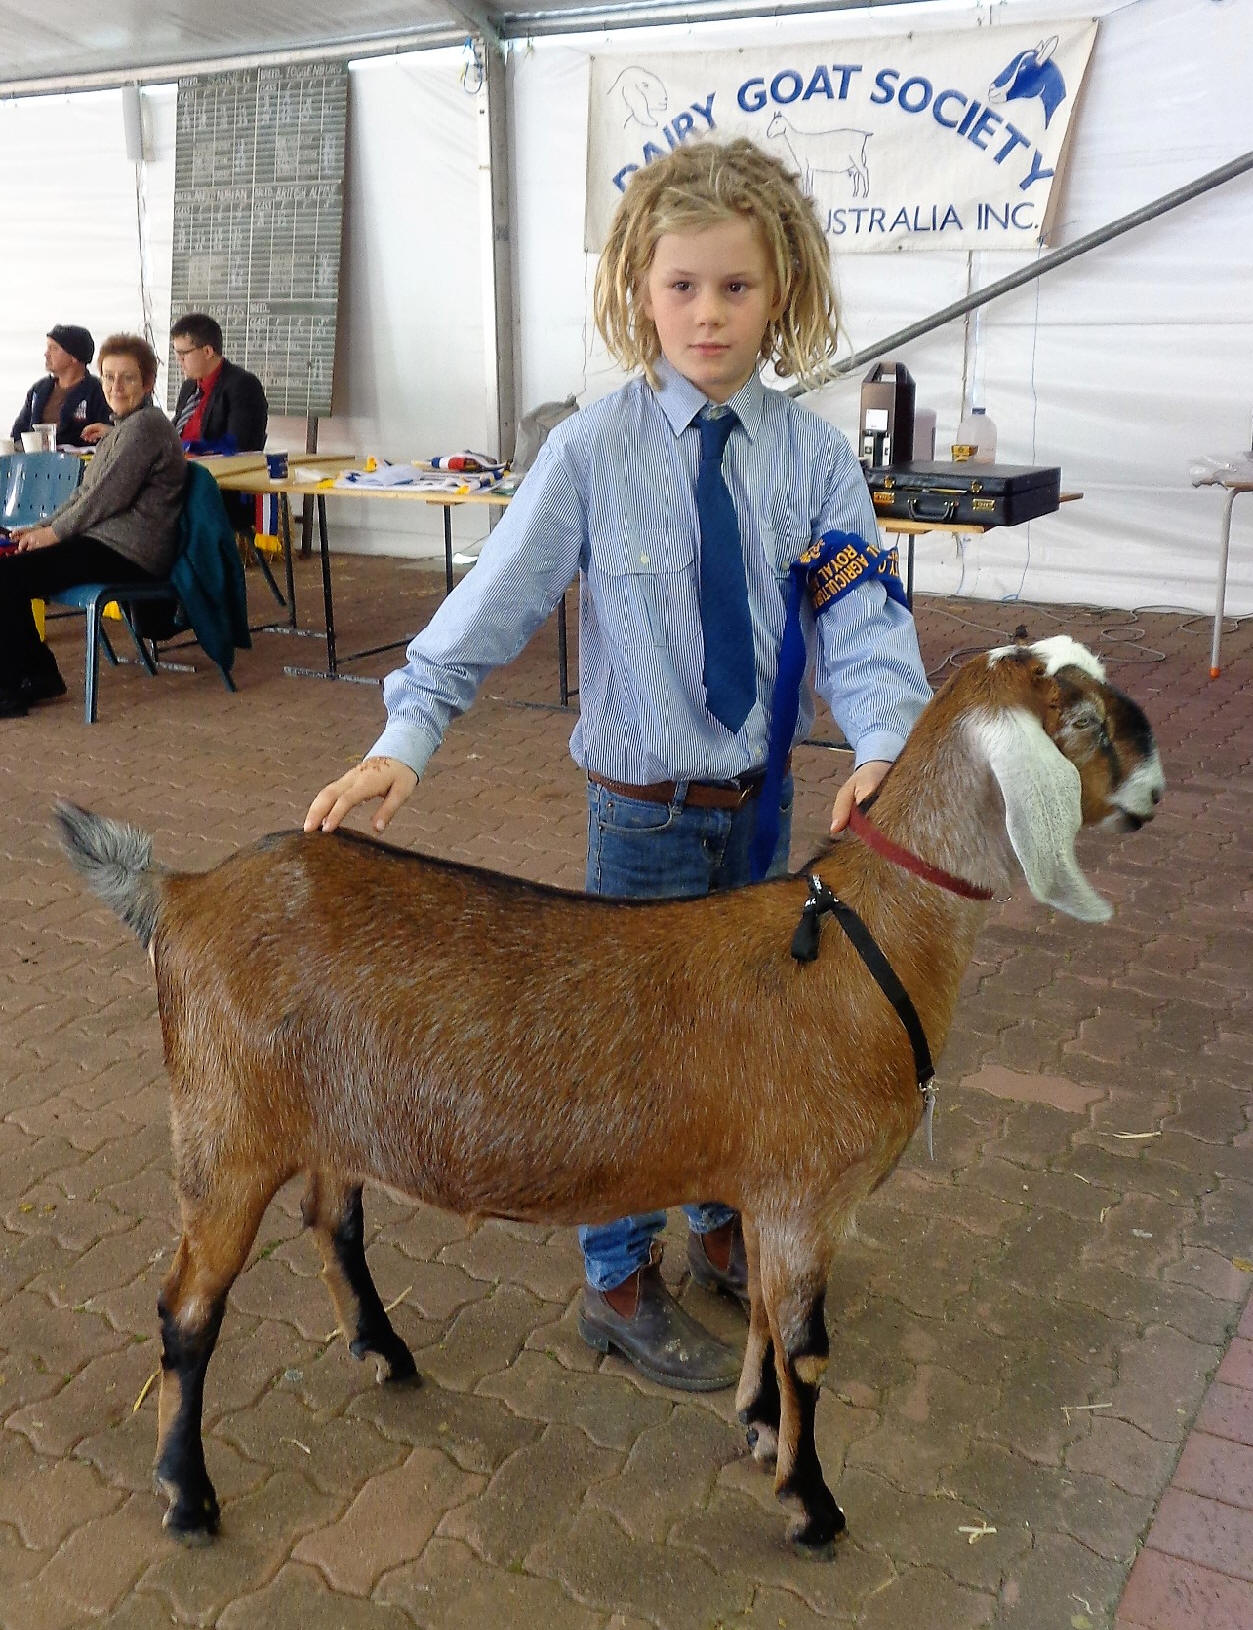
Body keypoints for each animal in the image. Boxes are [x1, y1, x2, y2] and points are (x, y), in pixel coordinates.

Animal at [51, 635, 1160, 1551]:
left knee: (333, 1221)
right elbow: (806, 1349)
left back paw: (383, 1350)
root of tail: (182, 893)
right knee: (186, 1312)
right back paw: (188, 1497)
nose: (1155, 787)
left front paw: (758, 1428)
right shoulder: (807, 1195)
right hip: (222, 1133)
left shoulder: (770, 1196)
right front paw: (811, 1504)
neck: (864, 940)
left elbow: (764, 1317)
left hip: (327, 1118)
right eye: (1084, 722)